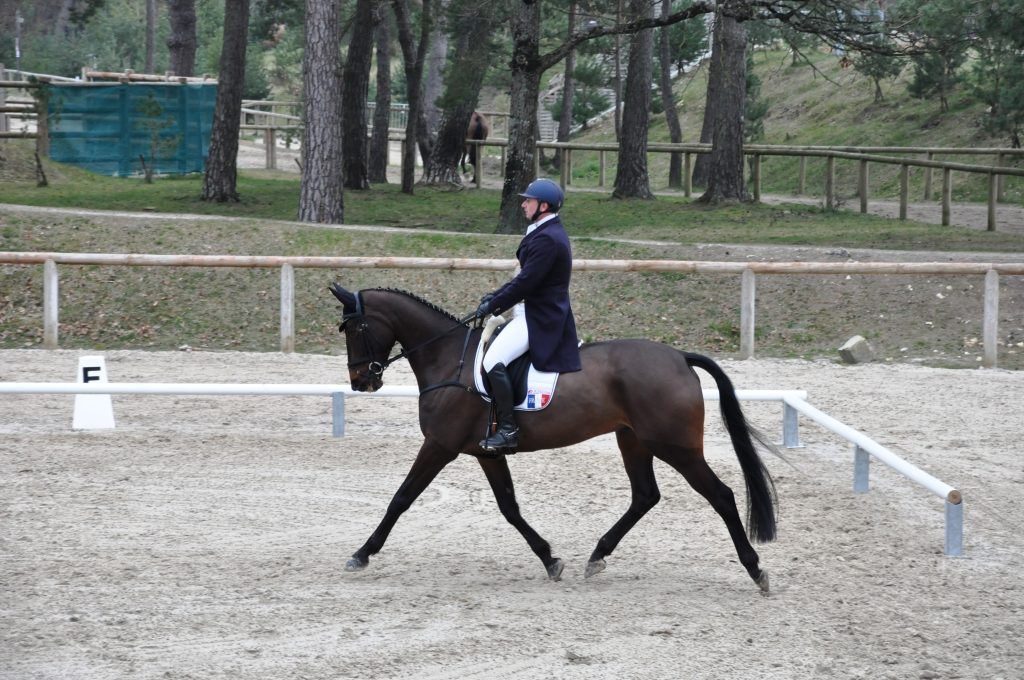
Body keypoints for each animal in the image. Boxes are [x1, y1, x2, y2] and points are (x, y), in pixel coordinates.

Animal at [331, 284, 778, 593]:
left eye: (354, 328)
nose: (360, 381)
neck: (447, 360)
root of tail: (680, 357)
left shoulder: (440, 446)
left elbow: (401, 498)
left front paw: (361, 554)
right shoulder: (486, 453)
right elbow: (509, 507)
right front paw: (550, 559)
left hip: (675, 447)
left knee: (721, 496)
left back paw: (756, 569)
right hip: (633, 440)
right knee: (645, 496)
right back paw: (597, 556)